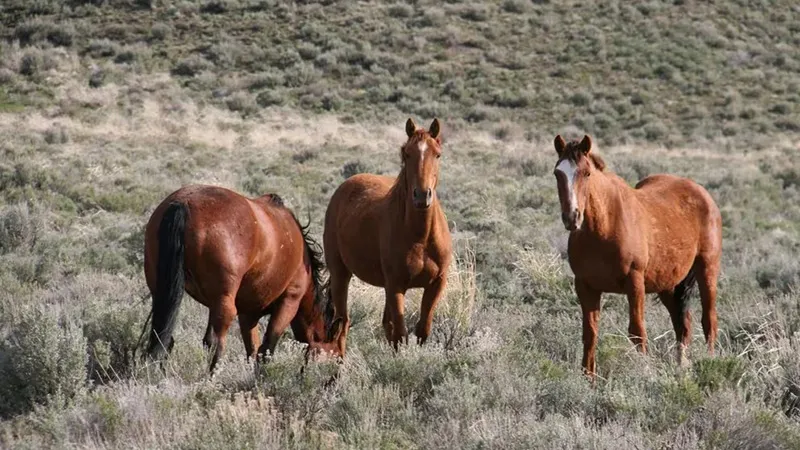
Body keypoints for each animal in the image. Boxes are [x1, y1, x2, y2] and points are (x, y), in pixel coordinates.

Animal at [143, 185, 341, 373]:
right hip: (224, 301)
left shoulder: (248, 314)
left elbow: (252, 350)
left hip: (166, 293)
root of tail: (184, 203)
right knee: (216, 342)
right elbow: (266, 349)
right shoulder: (289, 302)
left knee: (164, 338)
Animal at [321, 118, 453, 356]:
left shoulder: (436, 283)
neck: (420, 237)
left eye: (438, 154)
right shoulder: (396, 285)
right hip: (340, 274)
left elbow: (422, 330)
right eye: (407, 153)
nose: (422, 196)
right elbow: (400, 334)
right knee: (342, 322)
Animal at [551, 135, 722, 379]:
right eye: (558, 173)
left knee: (709, 321)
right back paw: (682, 367)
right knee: (683, 324)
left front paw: (645, 374)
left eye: (586, 173)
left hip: (707, 269)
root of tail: (702, 193)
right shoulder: (585, 286)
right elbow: (590, 333)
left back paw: (710, 363)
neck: (604, 227)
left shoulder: (635, 282)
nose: (572, 217)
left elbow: (637, 331)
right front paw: (588, 380)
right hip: (668, 284)